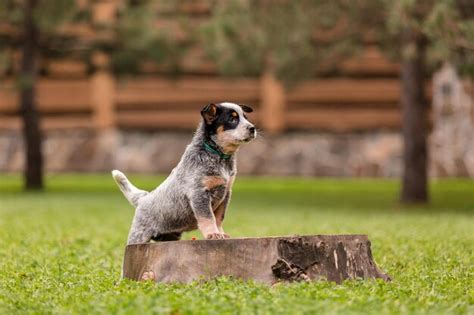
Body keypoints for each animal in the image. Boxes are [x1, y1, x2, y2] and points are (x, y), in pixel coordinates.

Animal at [112, 102, 256, 246]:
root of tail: (143, 198)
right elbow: (208, 217)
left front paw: (221, 233)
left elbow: (219, 218)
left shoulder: (226, 193)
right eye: (232, 119)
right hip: (138, 236)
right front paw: (213, 234)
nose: (252, 128)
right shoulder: (199, 193)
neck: (219, 156)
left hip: (169, 236)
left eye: (246, 117)